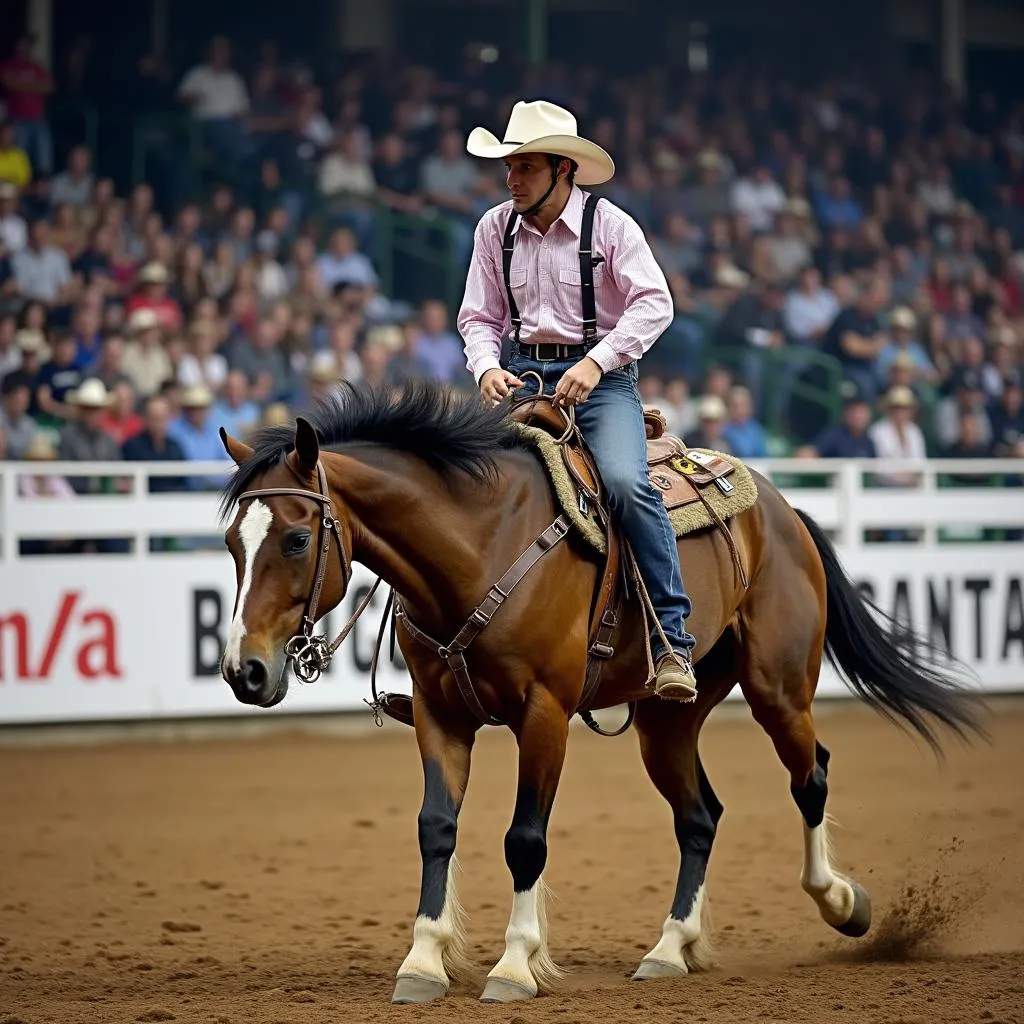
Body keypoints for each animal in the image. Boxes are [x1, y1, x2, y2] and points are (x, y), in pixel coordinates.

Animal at [218, 380, 983, 1003]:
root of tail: (783, 507)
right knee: (699, 817)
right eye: (230, 542)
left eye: (295, 539)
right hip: (666, 721)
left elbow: (525, 839)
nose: (242, 670)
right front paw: (424, 962)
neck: (481, 544)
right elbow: (435, 827)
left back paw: (841, 903)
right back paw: (669, 949)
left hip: (779, 688)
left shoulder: (544, 714)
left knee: (811, 776)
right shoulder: (440, 716)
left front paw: (514, 966)